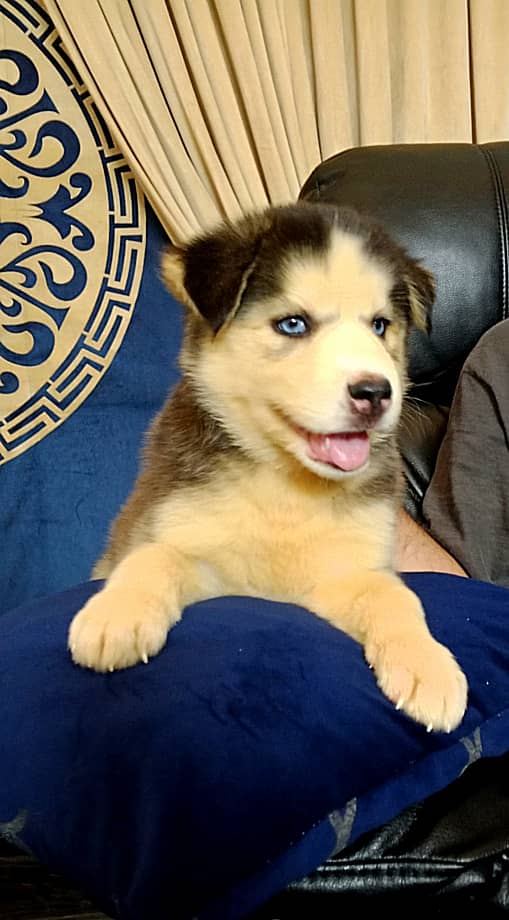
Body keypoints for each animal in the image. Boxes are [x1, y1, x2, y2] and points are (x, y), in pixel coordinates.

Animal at [69, 203, 466, 732]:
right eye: (293, 324)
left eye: (380, 326)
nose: (376, 393)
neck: (287, 486)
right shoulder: (203, 558)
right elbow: (154, 556)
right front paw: (116, 614)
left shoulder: (343, 574)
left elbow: (397, 597)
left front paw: (428, 666)